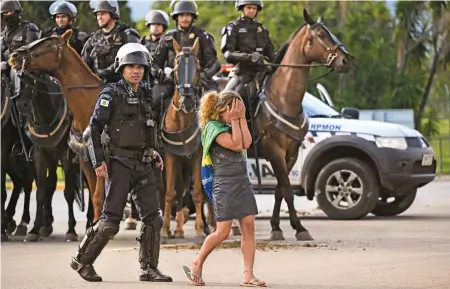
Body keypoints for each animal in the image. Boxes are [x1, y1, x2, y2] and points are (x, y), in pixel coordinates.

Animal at [159, 37, 212, 241]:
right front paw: (165, 230)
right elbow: (169, 193)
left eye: (197, 68)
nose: (187, 101)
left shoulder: (197, 156)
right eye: (175, 67)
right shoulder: (171, 157)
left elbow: (197, 192)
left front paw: (198, 229)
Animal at [222, 9, 352, 240]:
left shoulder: (291, 153)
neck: (283, 99)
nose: (345, 60)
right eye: (320, 34)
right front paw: (299, 227)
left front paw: (277, 227)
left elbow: (280, 190)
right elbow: (288, 190)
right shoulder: (274, 151)